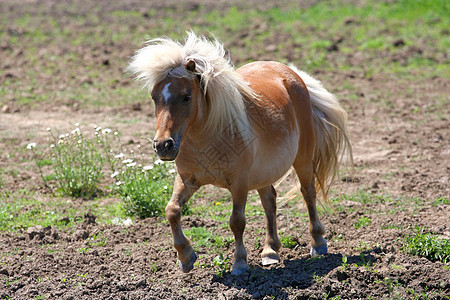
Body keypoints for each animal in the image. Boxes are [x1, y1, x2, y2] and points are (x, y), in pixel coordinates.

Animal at [126, 31, 352, 276]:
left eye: (186, 96)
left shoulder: (239, 183)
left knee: (308, 192)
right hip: (265, 170)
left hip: (302, 158)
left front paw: (239, 263)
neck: (208, 137)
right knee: (269, 200)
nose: (163, 145)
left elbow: (237, 221)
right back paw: (270, 251)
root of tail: (292, 74)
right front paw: (186, 257)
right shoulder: (187, 179)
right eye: (154, 97)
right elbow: (172, 210)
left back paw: (318, 243)